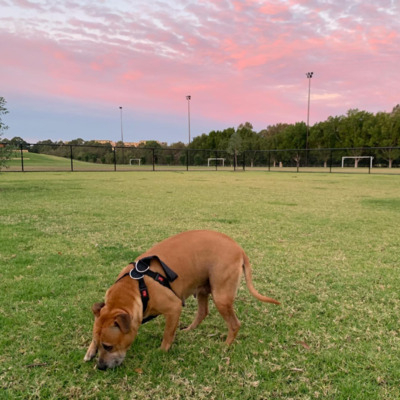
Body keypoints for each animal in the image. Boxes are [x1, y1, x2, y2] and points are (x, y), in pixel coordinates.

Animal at [84, 230, 278, 370]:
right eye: (99, 344)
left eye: (108, 346)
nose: (100, 367)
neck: (135, 287)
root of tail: (239, 248)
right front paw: (90, 351)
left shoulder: (174, 308)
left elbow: (168, 334)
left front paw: (162, 351)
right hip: (203, 289)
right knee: (203, 312)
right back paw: (190, 329)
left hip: (221, 296)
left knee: (234, 324)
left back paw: (225, 345)